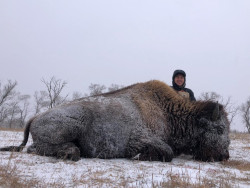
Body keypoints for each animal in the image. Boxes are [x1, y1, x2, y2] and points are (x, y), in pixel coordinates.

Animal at [0, 81, 230, 162]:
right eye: (219, 129)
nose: (224, 156)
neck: (168, 114)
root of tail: (35, 117)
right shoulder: (140, 139)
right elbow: (167, 151)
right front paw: (139, 156)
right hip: (72, 124)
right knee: (36, 148)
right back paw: (71, 153)